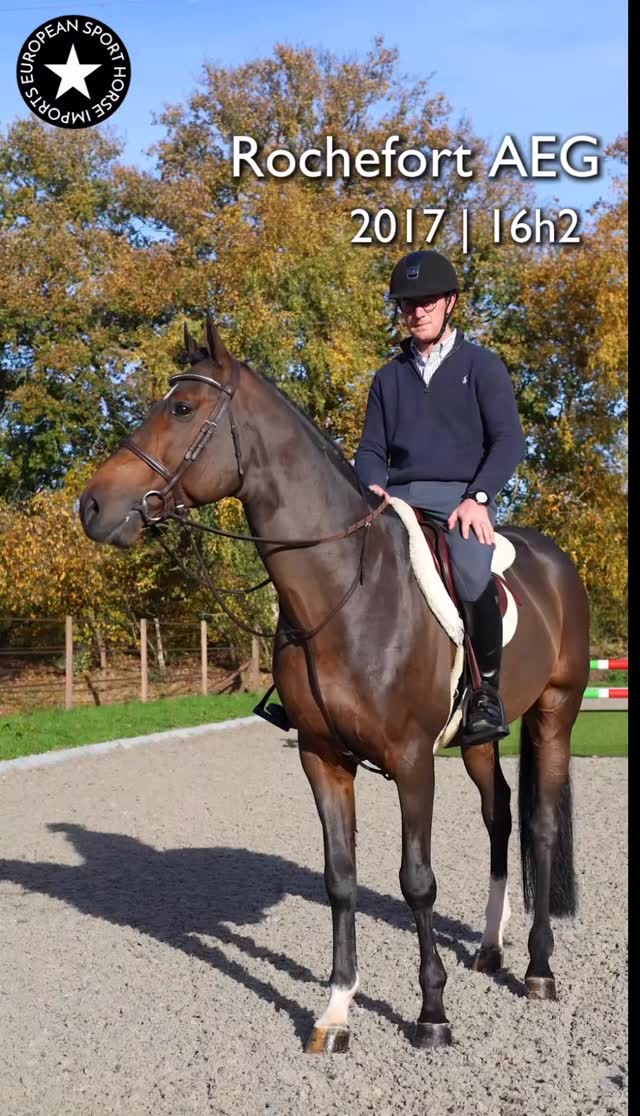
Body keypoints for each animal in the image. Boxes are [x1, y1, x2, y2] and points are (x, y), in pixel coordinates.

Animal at [79, 315, 590, 1054]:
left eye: (182, 407)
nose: (92, 506)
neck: (348, 590)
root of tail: (557, 562)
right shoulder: (324, 758)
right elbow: (340, 879)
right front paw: (337, 1009)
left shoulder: (412, 761)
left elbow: (416, 881)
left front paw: (432, 1013)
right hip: (477, 740)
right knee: (499, 815)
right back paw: (491, 949)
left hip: (555, 714)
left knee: (541, 826)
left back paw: (538, 967)